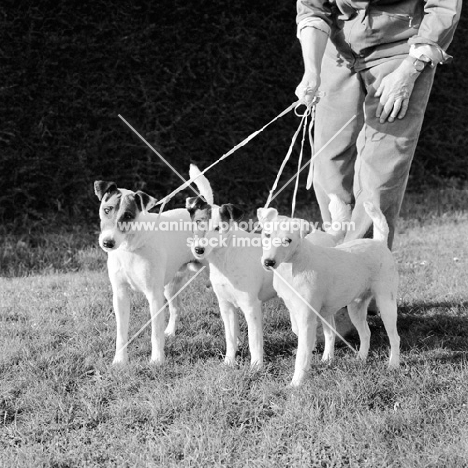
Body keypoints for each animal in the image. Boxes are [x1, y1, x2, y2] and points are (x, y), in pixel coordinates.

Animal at [95, 168, 212, 366]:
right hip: (170, 286)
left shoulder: (153, 295)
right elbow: (121, 333)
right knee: (175, 309)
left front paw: (157, 360)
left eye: (128, 215)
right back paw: (171, 331)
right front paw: (120, 360)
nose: (108, 243)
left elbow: (155, 333)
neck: (131, 247)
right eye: (107, 209)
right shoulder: (120, 295)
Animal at [258, 201, 400, 388]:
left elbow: (302, 355)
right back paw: (360, 359)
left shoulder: (307, 318)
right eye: (267, 235)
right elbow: (302, 335)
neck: (293, 265)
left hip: (386, 304)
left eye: (288, 240)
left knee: (394, 337)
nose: (268, 262)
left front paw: (296, 383)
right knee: (365, 333)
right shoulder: (295, 310)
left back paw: (393, 365)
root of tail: (379, 242)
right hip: (355, 308)